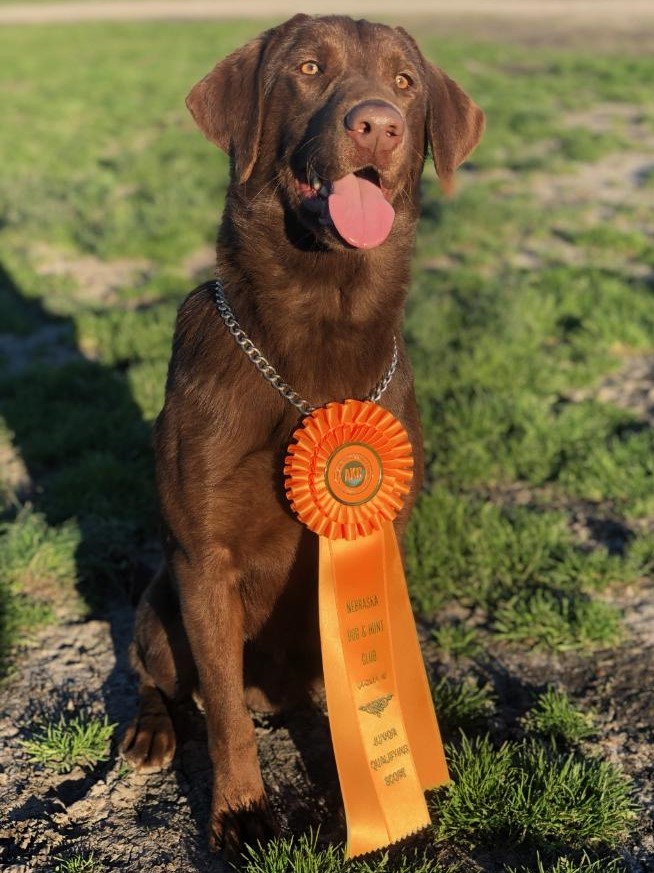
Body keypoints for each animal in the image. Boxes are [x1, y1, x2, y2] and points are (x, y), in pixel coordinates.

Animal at [120, 13, 484, 856]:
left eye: (406, 82)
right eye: (310, 68)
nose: (378, 123)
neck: (319, 325)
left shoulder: (379, 539)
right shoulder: (203, 560)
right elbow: (222, 709)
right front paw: (240, 810)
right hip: (159, 605)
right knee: (158, 672)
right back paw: (152, 731)